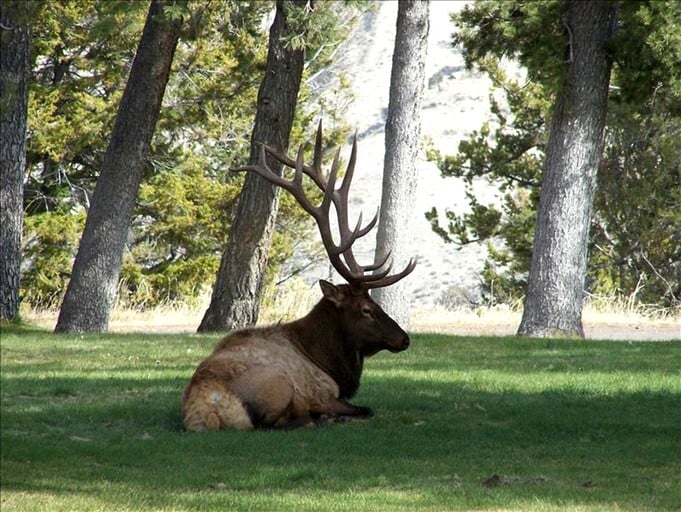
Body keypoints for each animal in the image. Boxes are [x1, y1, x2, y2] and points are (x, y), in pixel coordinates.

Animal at [181, 122, 414, 430]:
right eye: (367, 309)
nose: (404, 338)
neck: (326, 359)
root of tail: (206, 412)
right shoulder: (324, 389)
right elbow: (366, 408)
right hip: (280, 384)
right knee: (285, 421)